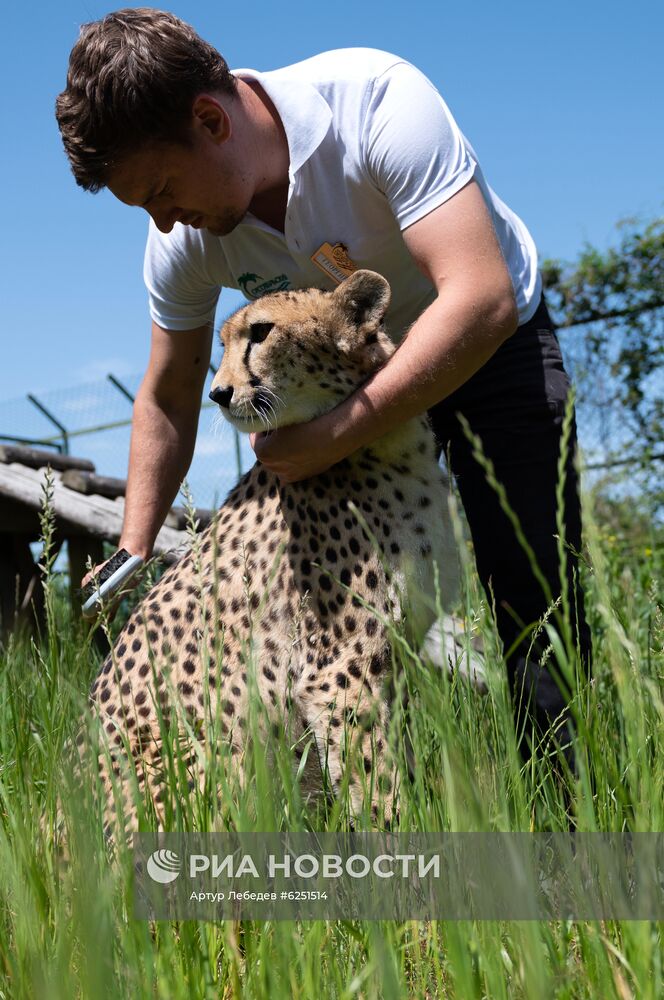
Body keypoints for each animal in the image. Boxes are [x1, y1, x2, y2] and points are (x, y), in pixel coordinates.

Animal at [84, 270, 462, 832]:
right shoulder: (337, 672)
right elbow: (378, 785)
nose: (218, 393)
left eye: (261, 333)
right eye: (220, 345)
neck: (388, 445)